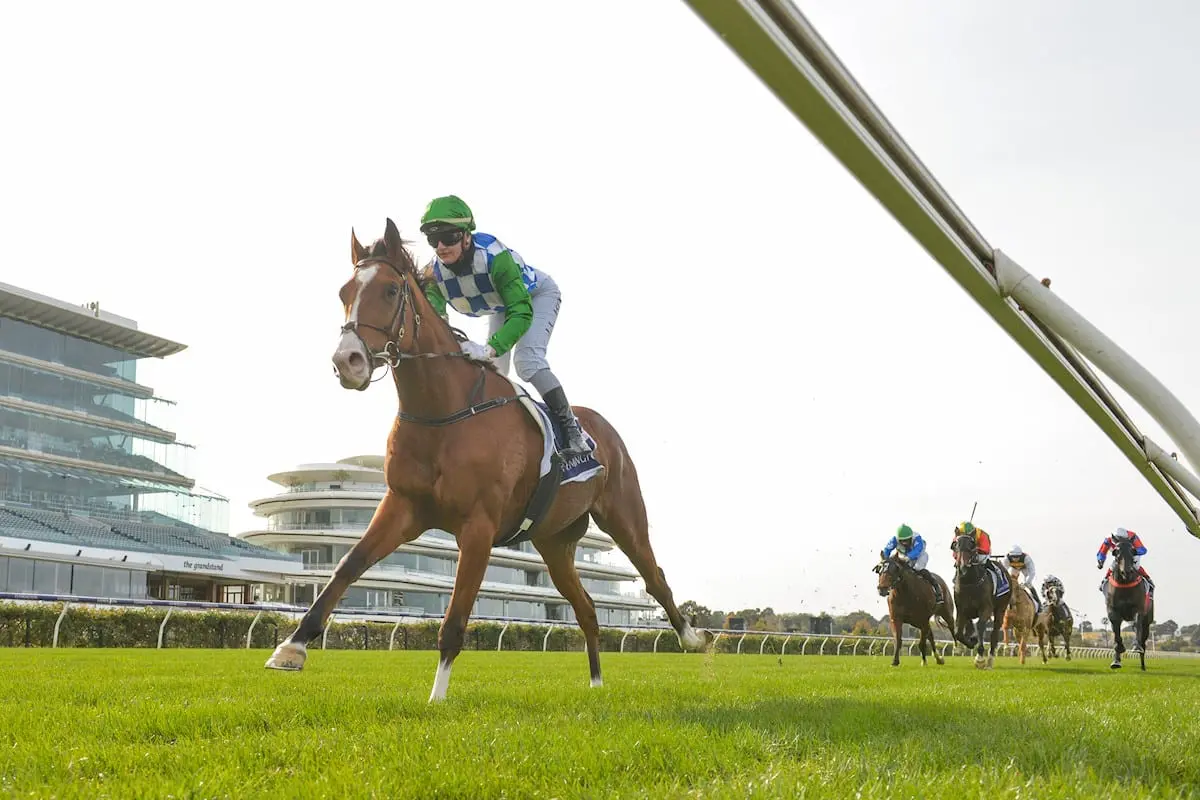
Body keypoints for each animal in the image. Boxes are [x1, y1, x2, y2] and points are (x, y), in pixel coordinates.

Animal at [262, 220, 705, 700]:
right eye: (344, 291)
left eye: (390, 291)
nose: (348, 361)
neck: (443, 411)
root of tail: (604, 429)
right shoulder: (402, 506)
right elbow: (347, 566)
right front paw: (291, 646)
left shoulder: (478, 527)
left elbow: (454, 620)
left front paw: (436, 699)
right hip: (554, 543)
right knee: (586, 607)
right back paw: (596, 682)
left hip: (624, 518)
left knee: (654, 575)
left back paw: (693, 637)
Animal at [950, 534, 1008, 671]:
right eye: (955, 545)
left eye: (972, 544)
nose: (963, 567)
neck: (969, 582)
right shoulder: (961, 610)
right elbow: (958, 633)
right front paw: (972, 641)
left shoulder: (985, 608)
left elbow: (981, 626)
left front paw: (980, 658)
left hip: (1000, 609)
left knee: (994, 633)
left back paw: (990, 661)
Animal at [1104, 534, 1152, 671]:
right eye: (1116, 551)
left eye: (1133, 550)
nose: (1127, 572)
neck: (1124, 584)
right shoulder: (1112, 610)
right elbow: (1116, 632)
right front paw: (1118, 653)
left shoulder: (1138, 609)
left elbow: (1136, 624)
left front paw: (1136, 647)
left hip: (1148, 622)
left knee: (1143, 639)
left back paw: (1142, 664)